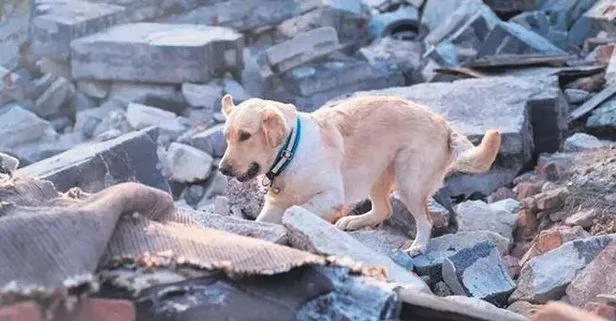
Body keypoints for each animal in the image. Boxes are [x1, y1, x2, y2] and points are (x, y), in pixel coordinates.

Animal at [218, 93, 500, 255]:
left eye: (245, 136)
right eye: (227, 137)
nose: (222, 169)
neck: (291, 150)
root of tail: (443, 124)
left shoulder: (331, 197)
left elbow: (299, 210)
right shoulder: (274, 205)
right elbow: (262, 222)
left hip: (408, 181)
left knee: (425, 220)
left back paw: (418, 246)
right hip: (376, 173)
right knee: (383, 209)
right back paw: (353, 222)